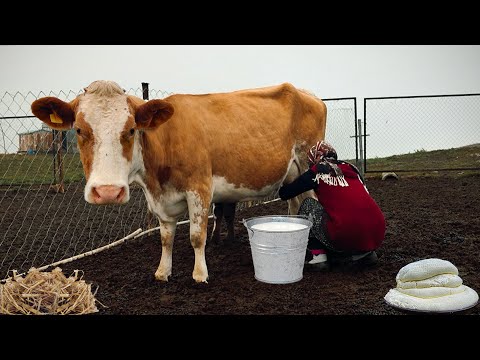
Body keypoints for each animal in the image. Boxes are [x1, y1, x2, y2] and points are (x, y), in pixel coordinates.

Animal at [31, 81, 326, 284]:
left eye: (131, 130)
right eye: (79, 130)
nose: (107, 192)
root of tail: (308, 94)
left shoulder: (200, 190)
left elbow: (196, 236)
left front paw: (200, 274)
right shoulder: (159, 199)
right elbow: (166, 238)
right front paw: (163, 272)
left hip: (309, 165)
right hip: (292, 175)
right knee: (295, 205)